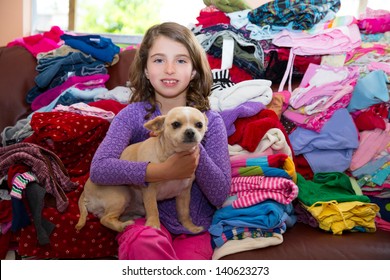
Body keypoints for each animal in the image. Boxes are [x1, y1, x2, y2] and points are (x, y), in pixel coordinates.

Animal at [75, 106, 207, 233]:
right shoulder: (149, 191)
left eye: (199, 125)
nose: (190, 132)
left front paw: (190, 227)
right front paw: (153, 225)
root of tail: (85, 193)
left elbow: (184, 213)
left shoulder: (184, 194)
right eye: (176, 124)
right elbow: (153, 209)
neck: (170, 154)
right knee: (105, 219)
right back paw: (123, 226)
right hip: (122, 194)